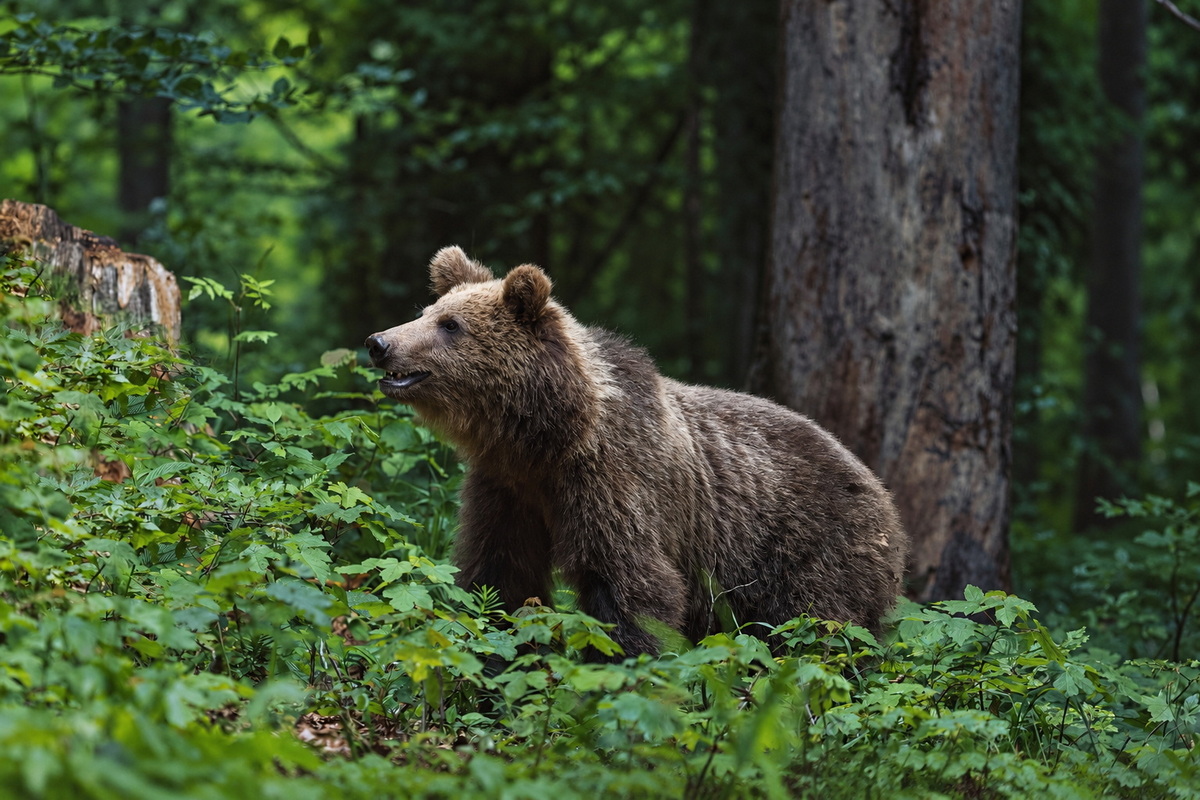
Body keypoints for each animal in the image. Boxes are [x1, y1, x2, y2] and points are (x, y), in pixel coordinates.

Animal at [365, 246, 909, 656]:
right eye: (424, 313)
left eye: (450, 324)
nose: (379, 342)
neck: (548, 439)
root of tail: (881, 491)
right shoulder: (506, 489)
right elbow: (501, 573)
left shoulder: (612, 482)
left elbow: (631, 586)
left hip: (809, 547)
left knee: (820, 629)